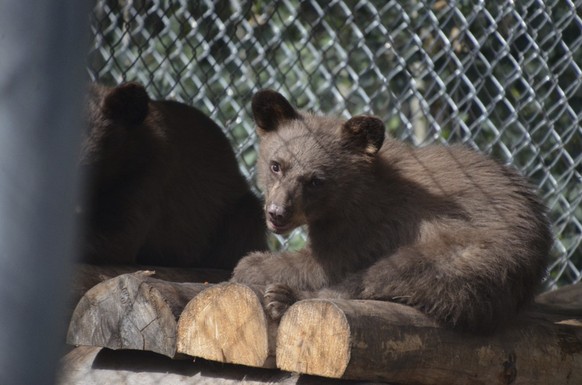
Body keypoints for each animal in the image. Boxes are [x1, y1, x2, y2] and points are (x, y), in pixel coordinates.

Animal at [232, 88, 552, 332]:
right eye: (276, 165)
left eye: (315, 180)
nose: (277, 213)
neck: (352, 192)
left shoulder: (367, 221)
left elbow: (326, 264)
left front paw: (250, 265)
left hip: (468, 250)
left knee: (387, 275)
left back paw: (284, 298)